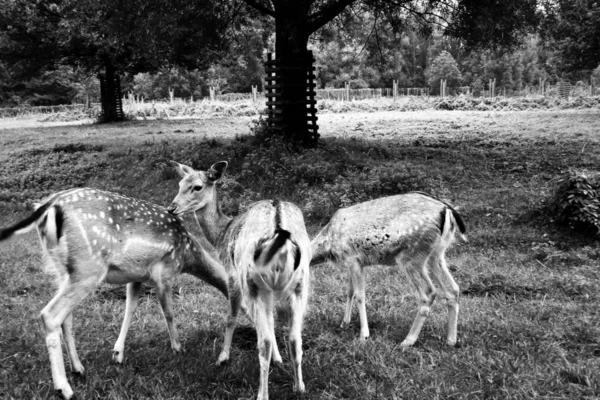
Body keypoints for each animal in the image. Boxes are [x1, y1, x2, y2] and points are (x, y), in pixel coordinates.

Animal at [0, 188, 230, 400]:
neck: (188, 255)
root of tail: (49, 206)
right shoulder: (164, 273)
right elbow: (169, 313)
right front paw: (178, 348)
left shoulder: (136, 275)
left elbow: (130, 308)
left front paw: (118, 354)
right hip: (88, 267)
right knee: (49, 314)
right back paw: (64, 388)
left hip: (62, 270)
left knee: (66, 318)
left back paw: (78, 368)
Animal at [166, 161, 312, 400]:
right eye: (179, 184)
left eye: (197, 187)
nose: (172, 208)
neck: (221, 235)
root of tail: (280, 239)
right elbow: (271, 320)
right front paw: (278, 360)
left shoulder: (231, 274)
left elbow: (231, 317)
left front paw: (222, 357)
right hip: (300, 283)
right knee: (294, 336)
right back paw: (299, 387)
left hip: (251, 281)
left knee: (263, 341)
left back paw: (262, 393)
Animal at [312, 192, 466, 346]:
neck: (328, 243)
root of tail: (447, 210)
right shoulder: (353, 262)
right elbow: (350, 291)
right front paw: (344, 323)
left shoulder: (352, 258)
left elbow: (359, 295)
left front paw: (364, 335)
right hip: (436, 254)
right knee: (453, 289)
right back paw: (451, 340)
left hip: (412, 256)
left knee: (429, 293)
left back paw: (407, 341)